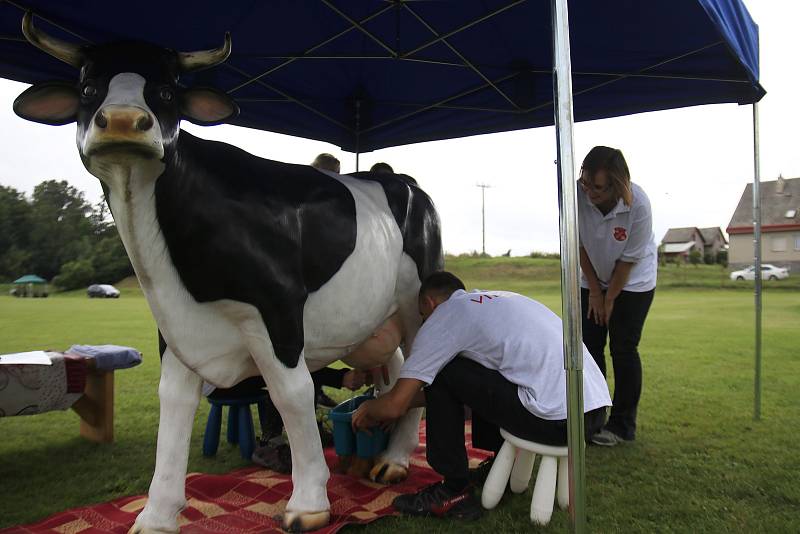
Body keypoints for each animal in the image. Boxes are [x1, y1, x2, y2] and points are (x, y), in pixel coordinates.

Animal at [15, 13, 444, 534]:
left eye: (166, 92)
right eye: (88, 88)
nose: (120, 121)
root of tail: (399, 179)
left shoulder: (278, 310)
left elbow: (292, 394)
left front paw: (308, 503)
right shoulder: (176, 323)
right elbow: (174, 401)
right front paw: (156, 514)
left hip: (418, 299)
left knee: (419, 367)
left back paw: (397, 461)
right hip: (375, 320)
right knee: (397, 370)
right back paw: (386, 456)